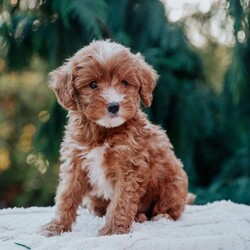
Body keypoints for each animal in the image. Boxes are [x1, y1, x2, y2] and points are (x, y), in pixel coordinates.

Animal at [41, 39, 189, 236]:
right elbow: (66, 195)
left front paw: (112, 229)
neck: (104, 131)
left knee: (170, 209)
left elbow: (121, 201)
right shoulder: (76, 162)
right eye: (93, 85)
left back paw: (159, 216)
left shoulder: (129, 165)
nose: (113, 106)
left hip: (174, 182)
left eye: (125, 83)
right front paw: (56, 226)